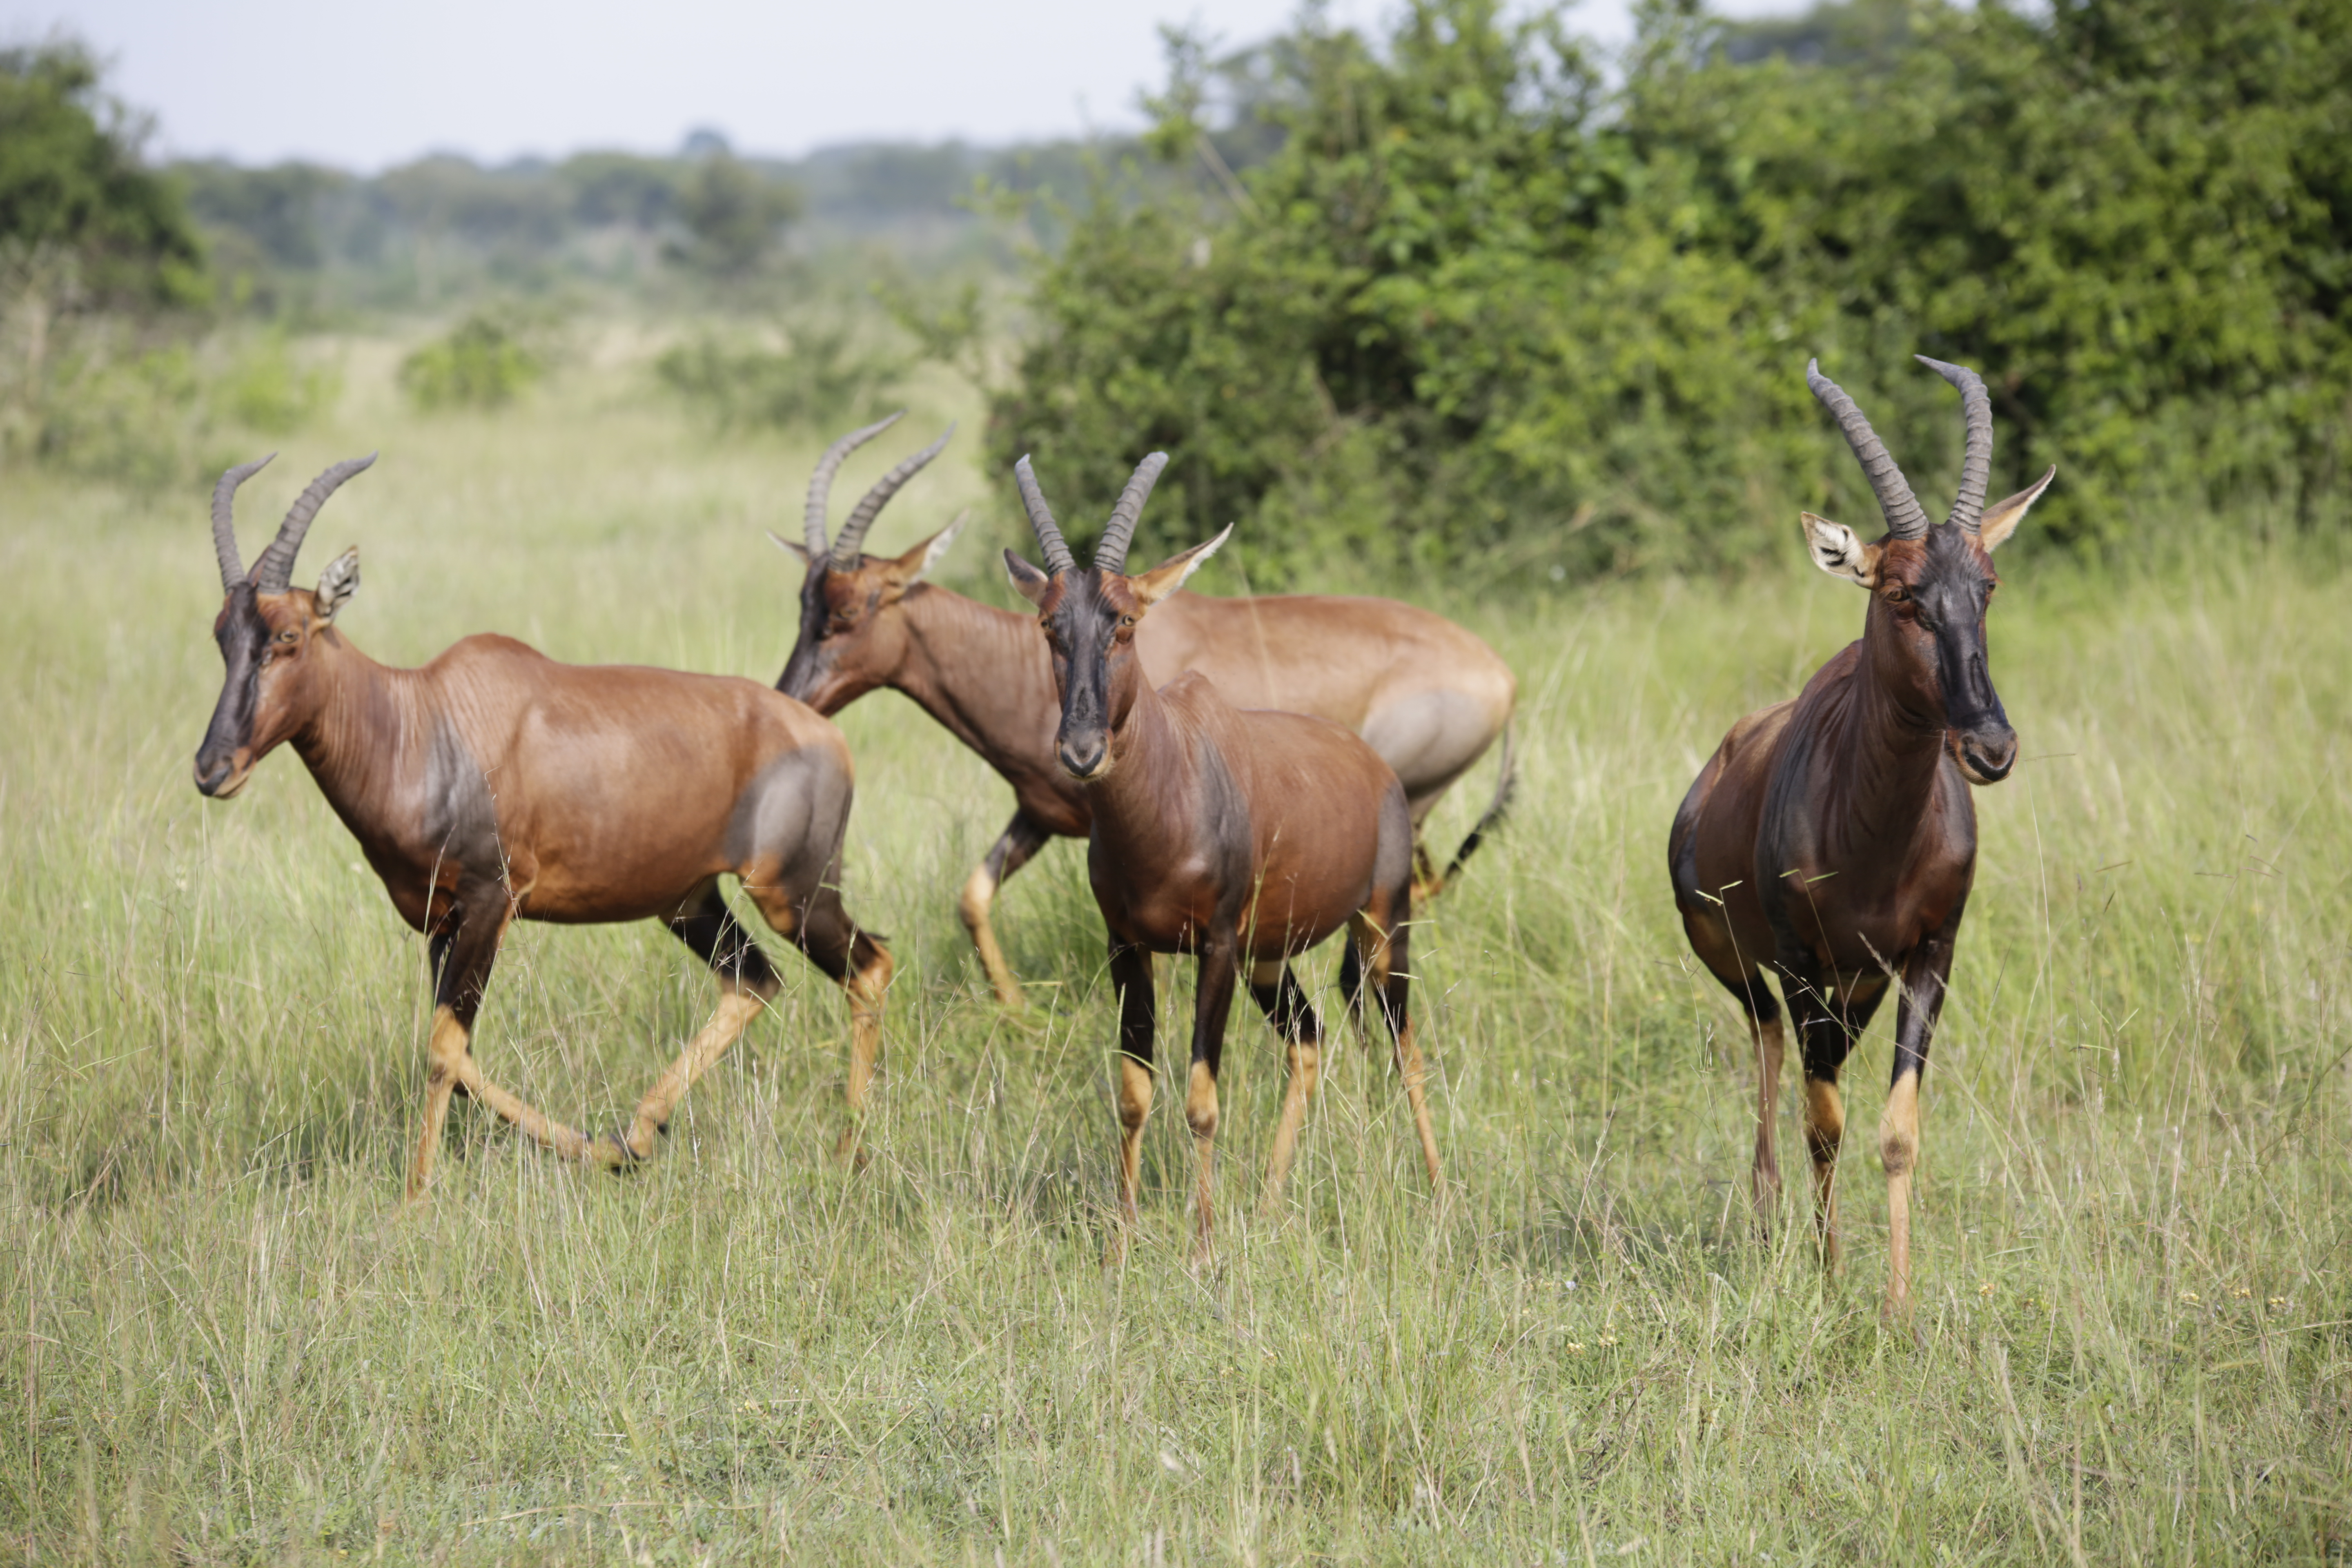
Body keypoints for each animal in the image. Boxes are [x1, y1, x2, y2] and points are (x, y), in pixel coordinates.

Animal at [188, 454, 889, 1203]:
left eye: (288, 636)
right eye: (223, 636)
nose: (212, 769)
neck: (424, 721)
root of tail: (826, 735)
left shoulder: (491, 904)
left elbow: (443, 1052)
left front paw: (414, 1201)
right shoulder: (441, 922)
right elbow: (460, 1056)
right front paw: (602, 1150)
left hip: (795, 895)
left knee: (868, 968)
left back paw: (848, 1152)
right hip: (689, 901)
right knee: (754, 981)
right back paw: (641, 1134)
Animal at [781, 416, 1515, 1011]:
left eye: (849, 611)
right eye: (805, 603)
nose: (790, 698)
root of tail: (1503, 678)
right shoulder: (1040, 814)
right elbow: (973, 897)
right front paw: (1017, 1011)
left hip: (1410, 806)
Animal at [1002, 451, 1439, 1250]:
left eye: (1126, 621)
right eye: (1050, 624)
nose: (1081, 750)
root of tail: (1376, 769)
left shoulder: (1216, 946)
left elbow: (1203, 1097)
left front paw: (1204, 1247)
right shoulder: (1127, 947)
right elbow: (1134, 1092)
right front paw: (1121, 1243)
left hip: (1381, 926)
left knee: (1407, 1047)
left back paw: (1439, 1191)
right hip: (1269, 958)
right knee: (1308, 1039)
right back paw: (1268, 1203)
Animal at [1665, 355, 2051, 1316]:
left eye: (1988, 586)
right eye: (1901, 592)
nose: (1990, 747)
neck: (1876, 838)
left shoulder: (1930, 958)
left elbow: (1896, 1129)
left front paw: (1899, 1307)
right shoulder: (1804, 961)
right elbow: (1825, 1123)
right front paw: (1834, 1278)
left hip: (1857, 992)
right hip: (1747, 963)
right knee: (1771, 1046)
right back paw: (1773, 1224)